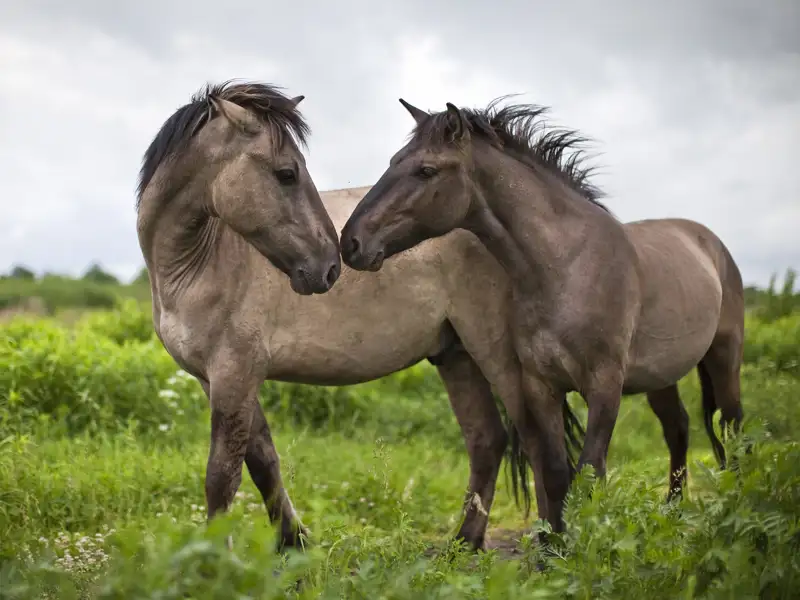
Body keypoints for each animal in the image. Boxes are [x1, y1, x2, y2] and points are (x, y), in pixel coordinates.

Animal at [135, 80, 583, 553]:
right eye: (287, 173)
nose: (329, 266)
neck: (197, 264)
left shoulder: (235, 373)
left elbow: (223, 475)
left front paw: (217, 556)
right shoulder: (216, 379)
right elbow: (262, 460)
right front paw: (293, 541)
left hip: (496, 355)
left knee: (535, 443)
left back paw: (548, 544)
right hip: (455, 354)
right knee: (487, 440)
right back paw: (465, 542)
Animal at [340, 97, 745, 538]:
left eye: (425, 169)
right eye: (394, 161)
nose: (350, 242)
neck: (565, 267)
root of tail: (712, 245)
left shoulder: (604, 385)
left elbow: (589, 473)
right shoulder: (541, 385)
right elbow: (555, 474)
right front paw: (554, 547)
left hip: (724, 357)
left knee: (732, 423)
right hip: (661, 377)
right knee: (679, 429)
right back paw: (672, 512)